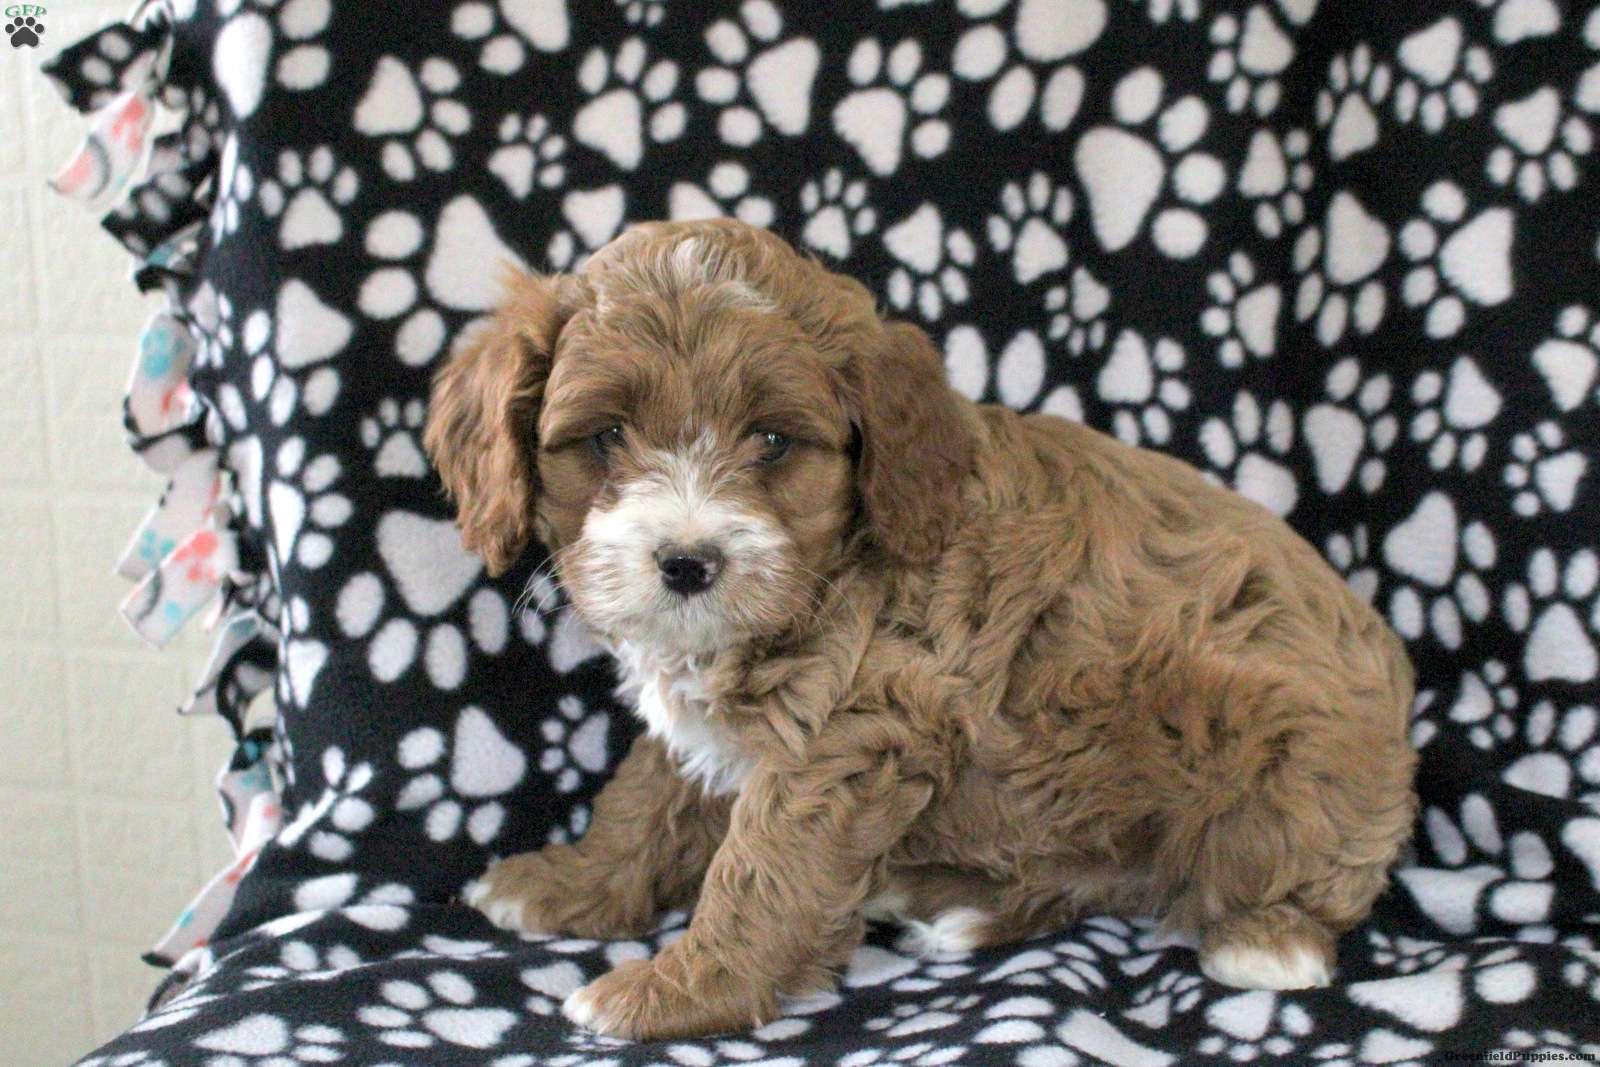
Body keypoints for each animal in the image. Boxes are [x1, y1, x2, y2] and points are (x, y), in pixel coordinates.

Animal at [423, 219, 1418, 1040]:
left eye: (773, 441)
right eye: (606, 437)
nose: (689, 562)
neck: (834, 564)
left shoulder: (854, 732)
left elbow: (762, 869)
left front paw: (678, 992)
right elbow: (641, 797)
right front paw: (571, 883)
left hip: (1286, 760)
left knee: (1291, 872)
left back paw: (1268, 936)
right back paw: (955, 902)